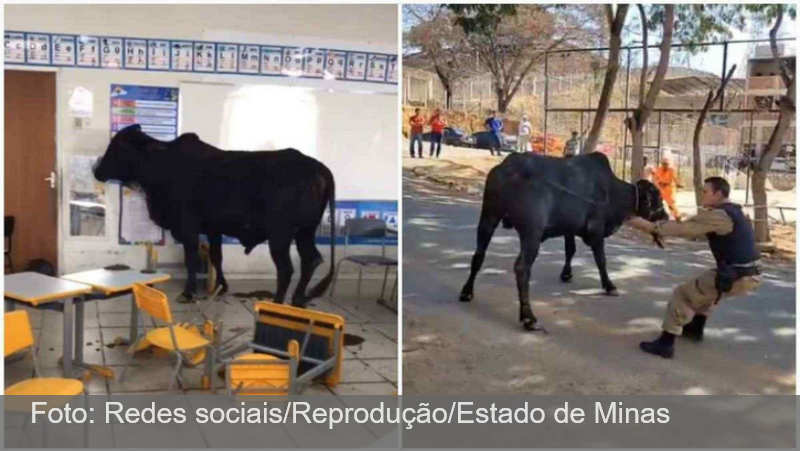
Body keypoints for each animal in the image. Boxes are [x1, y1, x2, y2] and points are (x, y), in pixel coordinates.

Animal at [95, 125, 336, 306]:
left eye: (118, 145)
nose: (96, 171)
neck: (162, 165)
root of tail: (317, 167)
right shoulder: (213, 229)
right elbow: (216, 256)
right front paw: (222, 286)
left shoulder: (188, 227)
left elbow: (191, 259)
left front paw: (188, 292)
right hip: (305, 231)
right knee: (311, 259)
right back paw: (298, 300)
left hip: (280, 234)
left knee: (286, 268)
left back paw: (277, 304)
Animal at [460, 153, 664, 332]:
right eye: (657, 196)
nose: (665, 215)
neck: (612, 191)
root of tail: (509, 167)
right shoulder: (596, 228)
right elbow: (601, 260)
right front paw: (609, 286)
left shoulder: (570, 229)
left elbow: (570, 250)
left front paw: (566, 274)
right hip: (531, 232)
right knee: (521, 268)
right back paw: (529, 318)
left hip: (489, 217)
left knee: (479, 255)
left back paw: (467, 292)